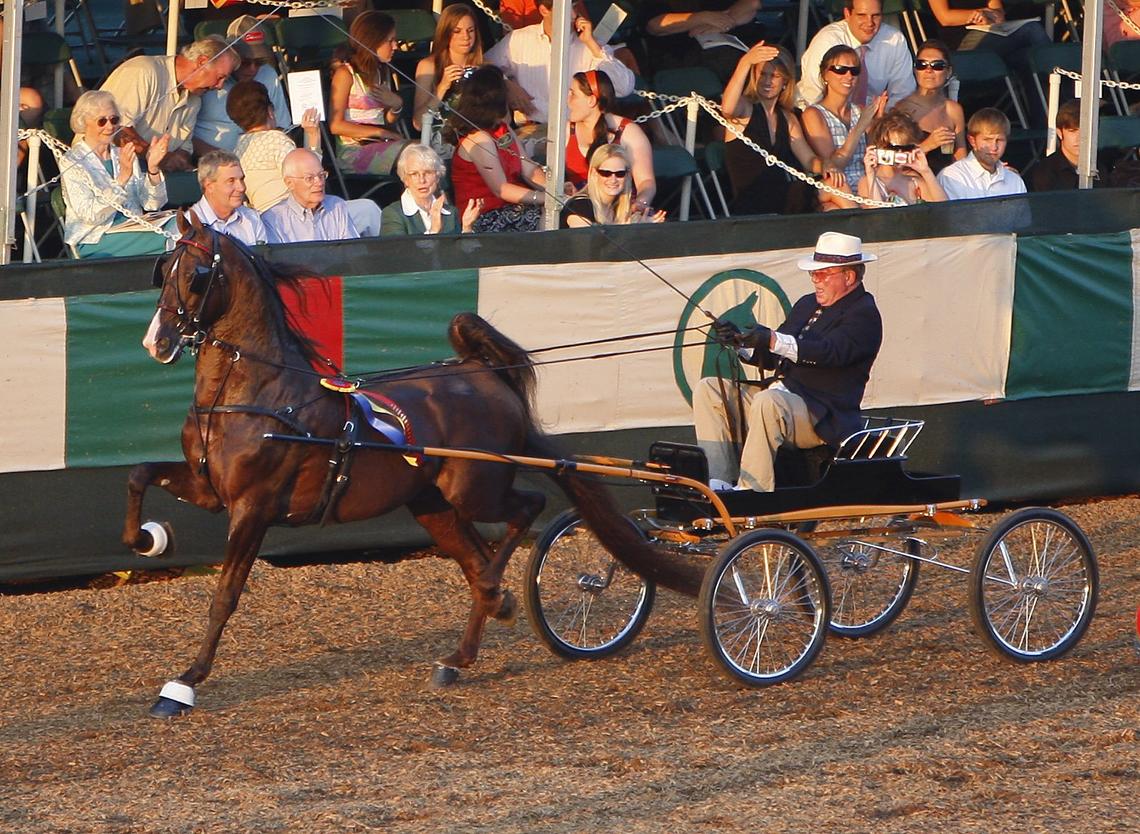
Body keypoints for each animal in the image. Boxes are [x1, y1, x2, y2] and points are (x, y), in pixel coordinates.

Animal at [126, 212, 702, 717]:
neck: (258, 396)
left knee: (525, 510)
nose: (155, 341)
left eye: (196, 275)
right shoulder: (210, 491)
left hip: (477, 487)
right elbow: (139, 474)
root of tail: (483, 373)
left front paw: (184, 684)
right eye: (164, 267)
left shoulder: (253, 507)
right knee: (475, 557)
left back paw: (495, 594)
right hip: (433, 505)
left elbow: (224, 595)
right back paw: (464, 649)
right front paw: (147, 538)